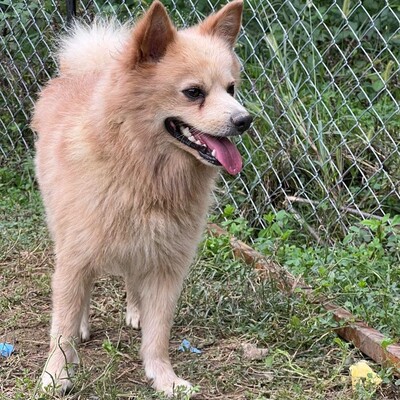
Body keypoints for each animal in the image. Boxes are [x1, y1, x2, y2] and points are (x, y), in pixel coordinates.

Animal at [31, 0, 252, 394]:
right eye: (193, 92)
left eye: (231, 88)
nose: (245, 120)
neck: (141, 168)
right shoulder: (75, 258)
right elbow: (63, 326)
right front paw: (57, 374)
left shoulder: (167, 265)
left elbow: (158, 334)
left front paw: (163, 378)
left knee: (133, 281)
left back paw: (135, 310)